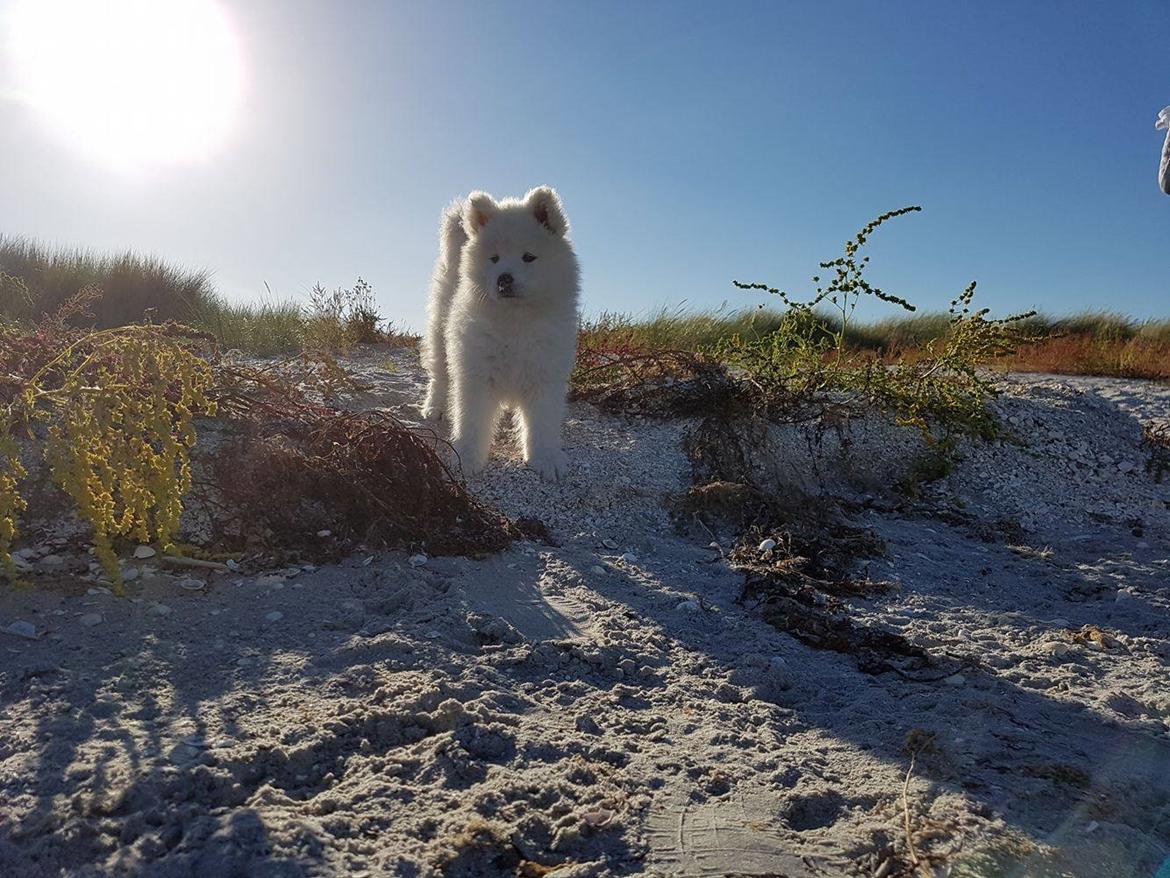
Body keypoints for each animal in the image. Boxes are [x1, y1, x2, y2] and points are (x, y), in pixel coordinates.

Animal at [423, 184, 582, 482]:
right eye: (494, 259)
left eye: (528, 257)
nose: (504, 278)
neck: (514, 321)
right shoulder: (476, 373)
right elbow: (471, 420)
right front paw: (467, 458)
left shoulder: (545, 373)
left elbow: (543, 422)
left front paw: (546, 458)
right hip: (439, 335)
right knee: (439, 376)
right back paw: (434, 408)